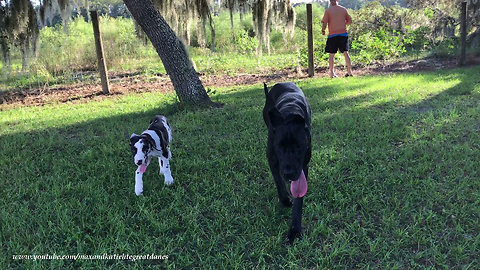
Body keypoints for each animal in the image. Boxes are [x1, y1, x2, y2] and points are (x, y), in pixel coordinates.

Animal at [262, 82, 312, 245]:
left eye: (299, 146)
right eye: (279, 146)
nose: (289, 174)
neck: (290, 113)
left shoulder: (303, 167)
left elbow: (298, 200)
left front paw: (295, 230)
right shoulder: (272, 159)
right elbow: (279, 182)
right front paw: (285, 200)